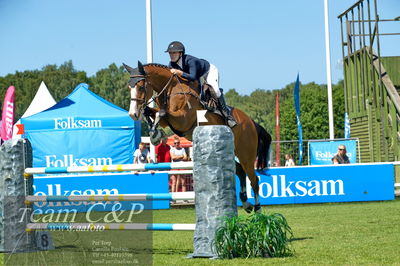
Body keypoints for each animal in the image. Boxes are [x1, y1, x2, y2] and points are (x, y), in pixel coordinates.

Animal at [123, 61, 270, 213]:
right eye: (129, 87)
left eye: (141, 86)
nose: (133, 114)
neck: (171, 89)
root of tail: (251, 122)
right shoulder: (167, 120)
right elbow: (152, 112)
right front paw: (154, 133)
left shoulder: (182, 120)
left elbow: (161, 113)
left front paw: (155, 135)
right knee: (240, 172)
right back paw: (246, 204)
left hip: (246, 154)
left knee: (253, 179)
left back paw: (258, 208)